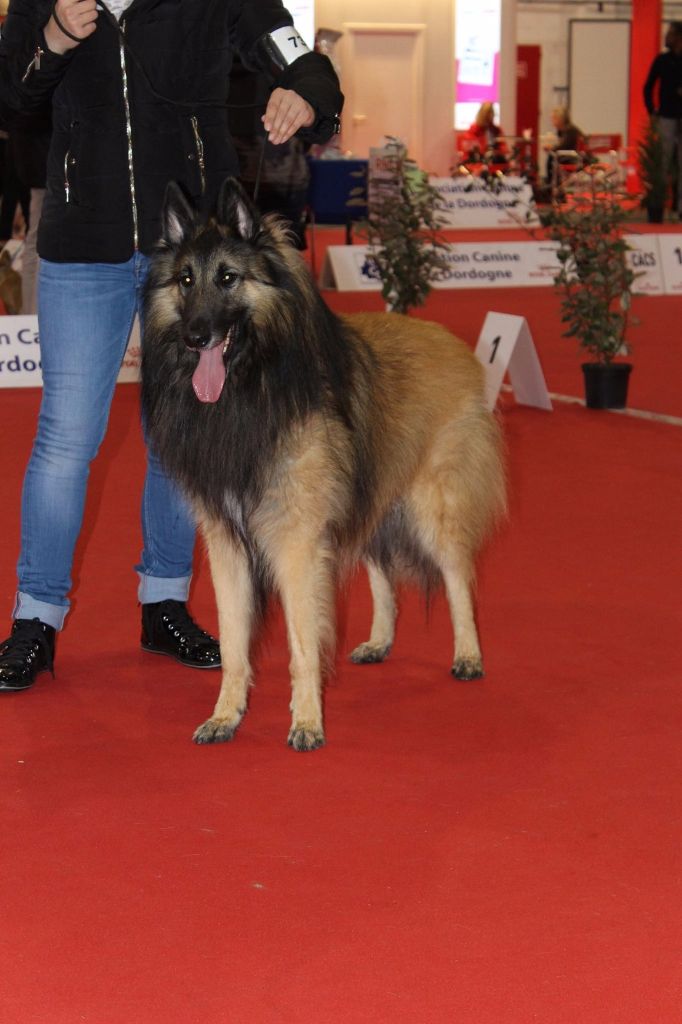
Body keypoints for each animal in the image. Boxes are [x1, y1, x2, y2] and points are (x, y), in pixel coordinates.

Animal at [142, 178, 503, 753]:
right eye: (185, 280)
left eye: (228, 277)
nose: (196, 336)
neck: (251, 384)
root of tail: (451, 342)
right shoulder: (227, 544)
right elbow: (235, 643)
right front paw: (225, 715)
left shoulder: (297, 543)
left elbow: (302, 643)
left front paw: (307, 722)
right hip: (370, 498)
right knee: (383, 573)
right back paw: (380, 641)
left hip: (432, 508)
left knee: (456, 575)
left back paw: (468, 654)